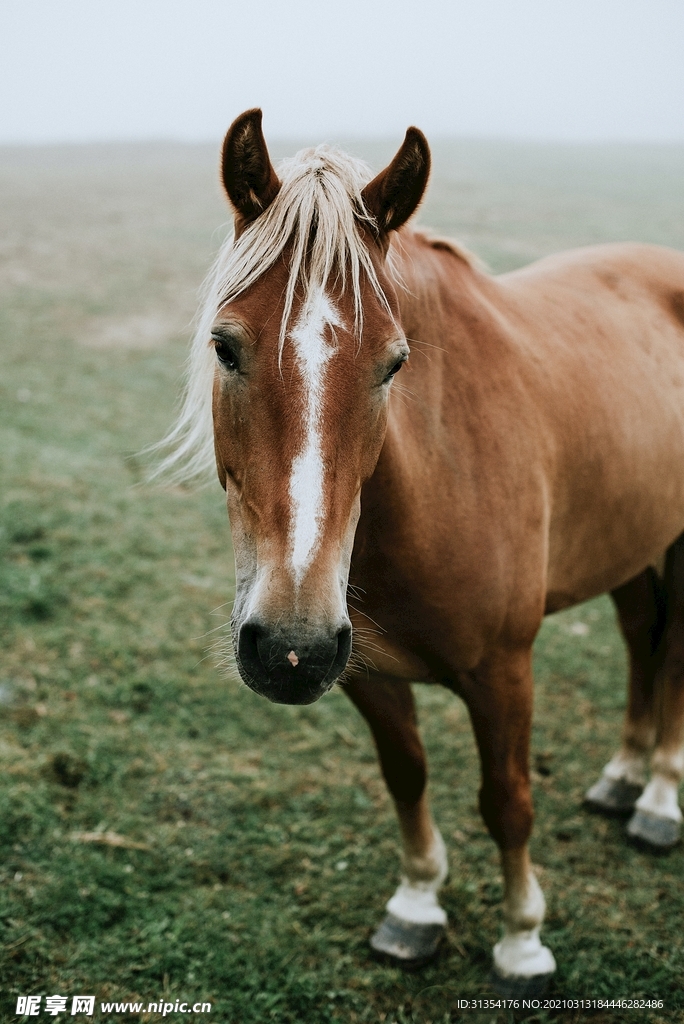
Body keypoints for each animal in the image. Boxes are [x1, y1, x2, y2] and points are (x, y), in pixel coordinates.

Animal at [157, 110, 684, 991]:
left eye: (394, 363)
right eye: (225, 346)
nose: (289, 646)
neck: (436, 481)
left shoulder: (505, 669)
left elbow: (507, 801)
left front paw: (523, 941)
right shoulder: (364, 670)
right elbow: (407, 776)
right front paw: (416, 907)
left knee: (670, 652)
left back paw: (660, 800)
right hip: (630, 538)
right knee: (642, 638)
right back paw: (623, 777)